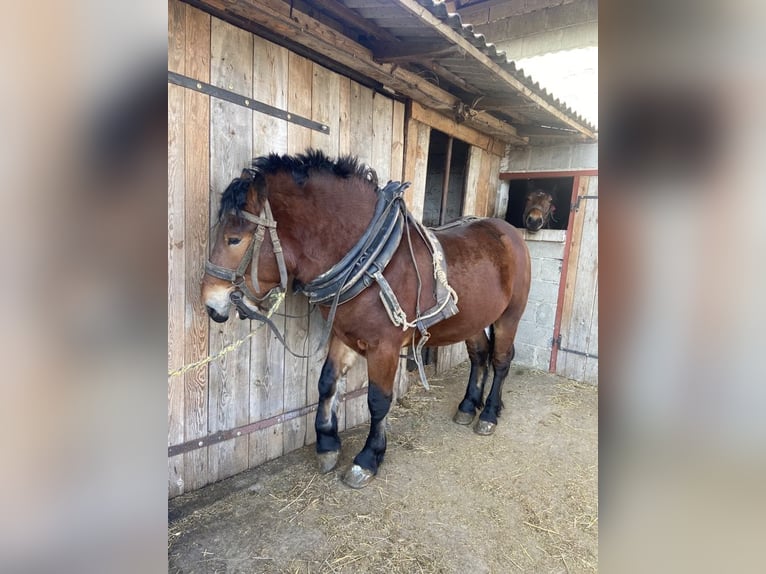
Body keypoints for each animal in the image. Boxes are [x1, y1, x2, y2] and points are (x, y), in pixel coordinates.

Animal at [201, 150, 532, 490]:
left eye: (234, 239)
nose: (211, 303)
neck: (371, 261)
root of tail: (508, 232)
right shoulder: (343, 334)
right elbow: (327, 383)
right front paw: (327, 445)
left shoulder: (384, 346)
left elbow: (378, 400)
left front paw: (368, 458)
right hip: (473, 319)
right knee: (479, 355)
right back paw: (468, 406)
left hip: (510, 315)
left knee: (501, 359)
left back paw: (489, 414)